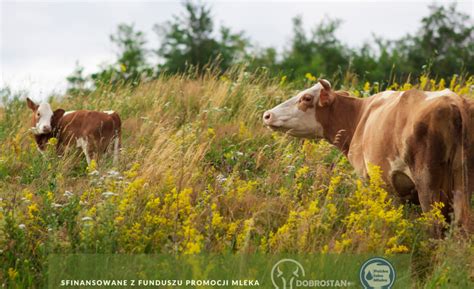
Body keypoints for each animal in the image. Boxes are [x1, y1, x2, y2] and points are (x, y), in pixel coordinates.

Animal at [264, 80, 472, 233]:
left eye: (306, 98)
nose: (267, 115)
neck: (359, 117)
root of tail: (454, 101)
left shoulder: (372, 181)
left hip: (428, 182)